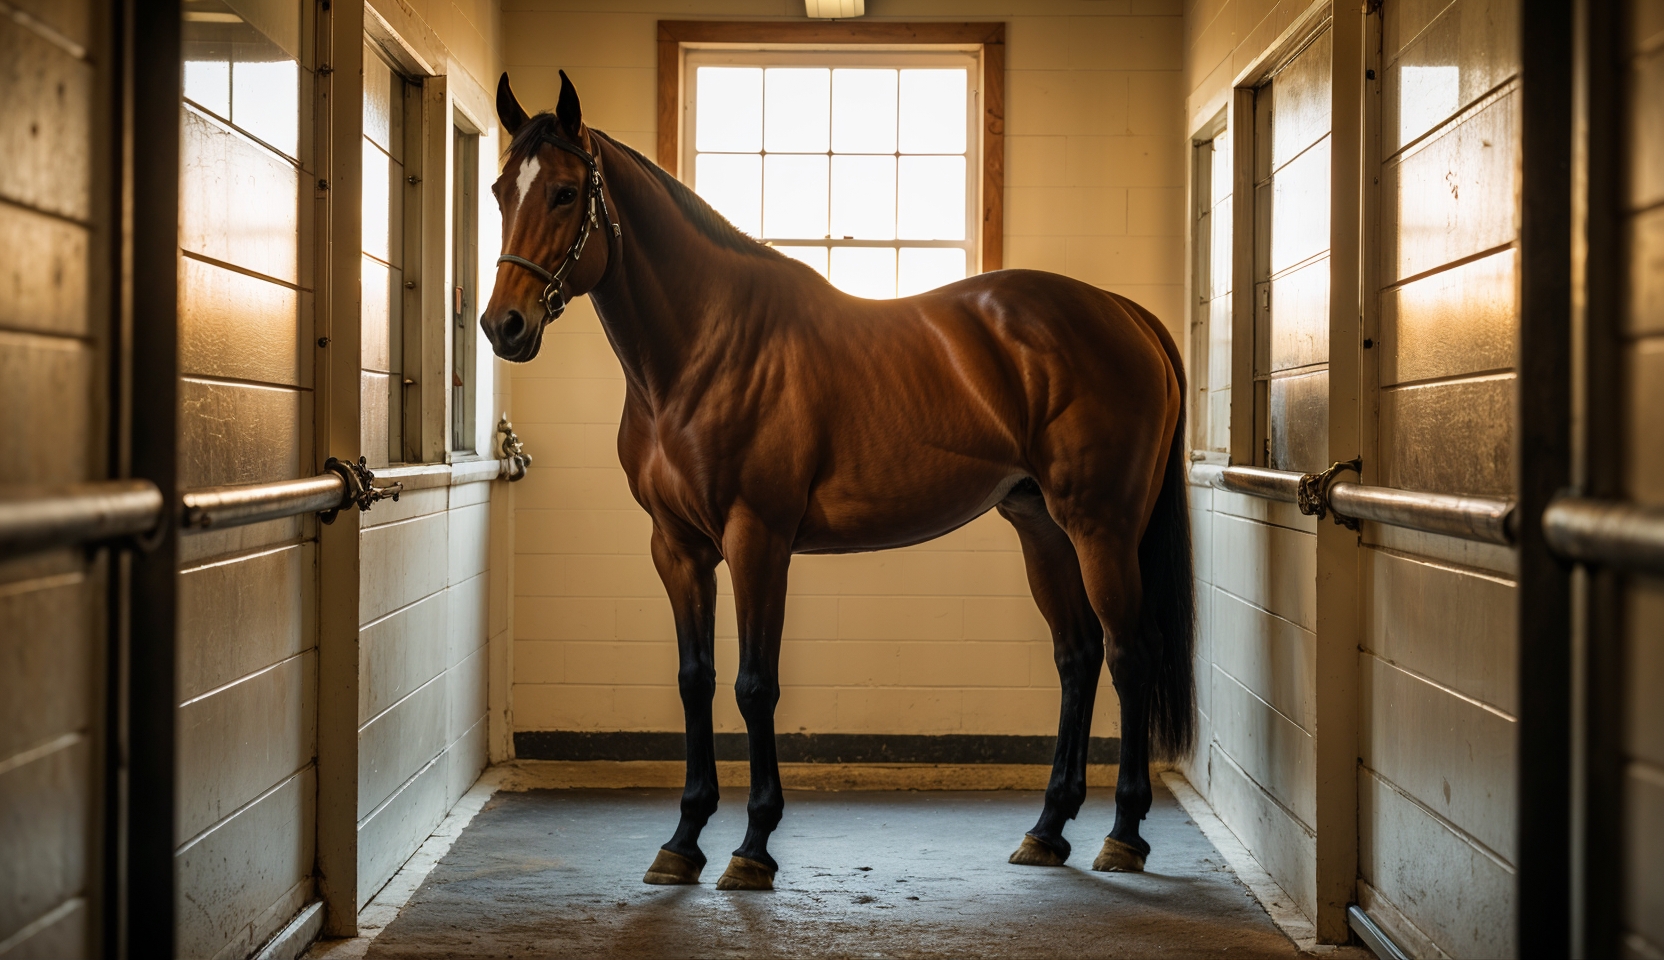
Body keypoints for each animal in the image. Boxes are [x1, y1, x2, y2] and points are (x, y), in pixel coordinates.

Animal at [480, 71, 1195, 892]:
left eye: (566, 193)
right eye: (500, 190)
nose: (503, 326)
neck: (702, 353)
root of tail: (1124, 312)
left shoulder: (758, 538)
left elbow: (754, 684)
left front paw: (753, 847)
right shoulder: (677, 548)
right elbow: (697, 679)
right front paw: (684, 839)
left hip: (1101, 526)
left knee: (1128, 653)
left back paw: (1124, 835)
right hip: (1043, 527)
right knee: (1078, 657)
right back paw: (1047, 831)